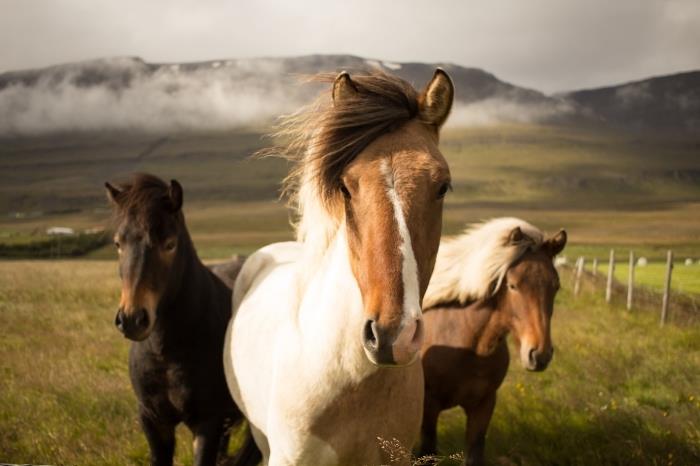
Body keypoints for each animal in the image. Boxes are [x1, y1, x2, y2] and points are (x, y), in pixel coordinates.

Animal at [102, 175, 258, 466]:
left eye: (169, 244)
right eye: (118, 244)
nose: (132, 319)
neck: (166, 352)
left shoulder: (207, 422)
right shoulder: (153, 421)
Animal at [418, 218, 568, 466]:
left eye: (555, 286)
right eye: (513, 285)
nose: (539, 355)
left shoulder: (484, 405)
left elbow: (474, 454)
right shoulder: (429, 406)